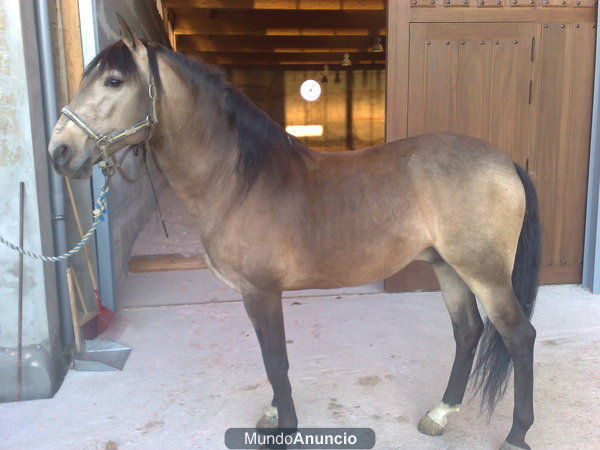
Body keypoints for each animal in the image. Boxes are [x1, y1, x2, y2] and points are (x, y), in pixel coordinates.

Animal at [49, 18, 540, 450]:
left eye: (114, 81)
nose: (60, 151)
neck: (239, 181)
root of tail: (505, 161)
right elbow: (271, 361)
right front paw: (273, 415)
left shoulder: (261, 291)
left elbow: (276, 361)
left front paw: (284, 429)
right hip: (448, 266)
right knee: (468, 332)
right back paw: (440, 414)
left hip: (484, 272)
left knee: (519, 336)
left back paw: (516, 434)